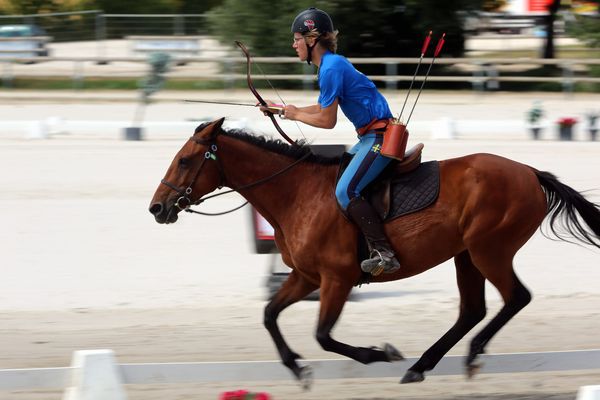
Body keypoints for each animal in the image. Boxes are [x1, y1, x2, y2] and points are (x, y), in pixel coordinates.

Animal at [149, 118, 600, 388]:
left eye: (185, 160)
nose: (157, 208)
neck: (297, 194)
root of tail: (530, 172)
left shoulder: (336, 279)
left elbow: (324, 336)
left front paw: (378, 353)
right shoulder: (305, 278)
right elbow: (269, 315)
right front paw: (297, 368)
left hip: (490, 250)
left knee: (515, 298)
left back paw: (467, 355)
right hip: (467, 255)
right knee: (472, 310)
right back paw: (422, 365)